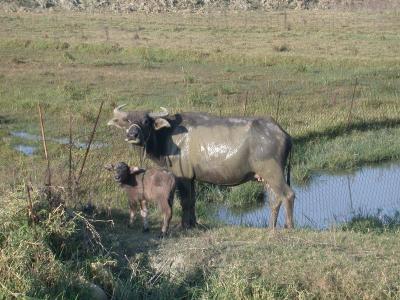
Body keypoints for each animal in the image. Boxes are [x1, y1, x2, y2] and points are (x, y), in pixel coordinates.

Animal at [108, 104, 296, 229]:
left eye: (146, 121)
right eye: (127, 120)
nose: (132, 134)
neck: (169, 135)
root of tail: (283, 133)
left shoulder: (182, 176)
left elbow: (184, 201)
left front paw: (184, 225)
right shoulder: (192, 178)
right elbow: (192, 201)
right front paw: (194, 223)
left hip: (274, 173)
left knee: (288, 195)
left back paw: (288, 227)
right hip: (267, 177)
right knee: (275, 200)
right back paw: (271, 228)